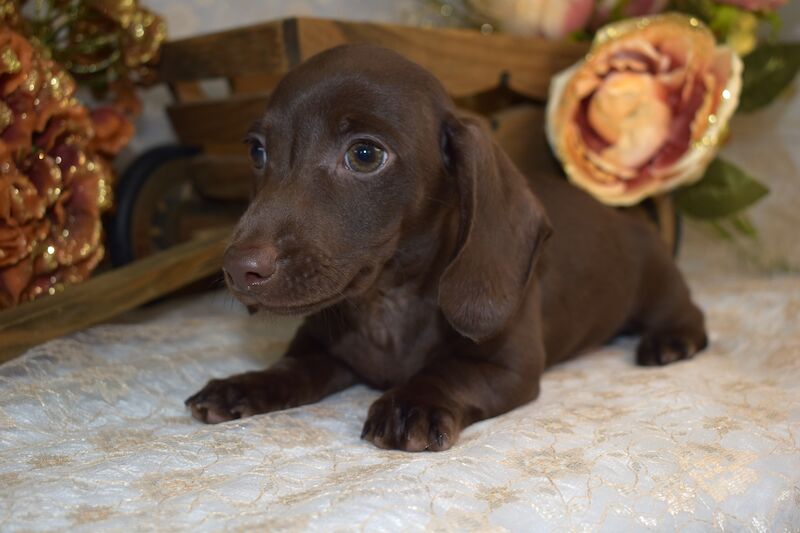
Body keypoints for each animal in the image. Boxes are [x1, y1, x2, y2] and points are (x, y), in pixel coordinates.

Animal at [183, 44, 708, 448]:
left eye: (365, 154)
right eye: (257, 151)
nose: (239, 269)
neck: (385, 305)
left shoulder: (508, 366)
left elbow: (449, 373)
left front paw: (412, 402)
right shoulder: (323, 349)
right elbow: (292, 368)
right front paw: (245, 385)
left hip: (657, 289)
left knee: (690, 314)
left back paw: (671, 340)